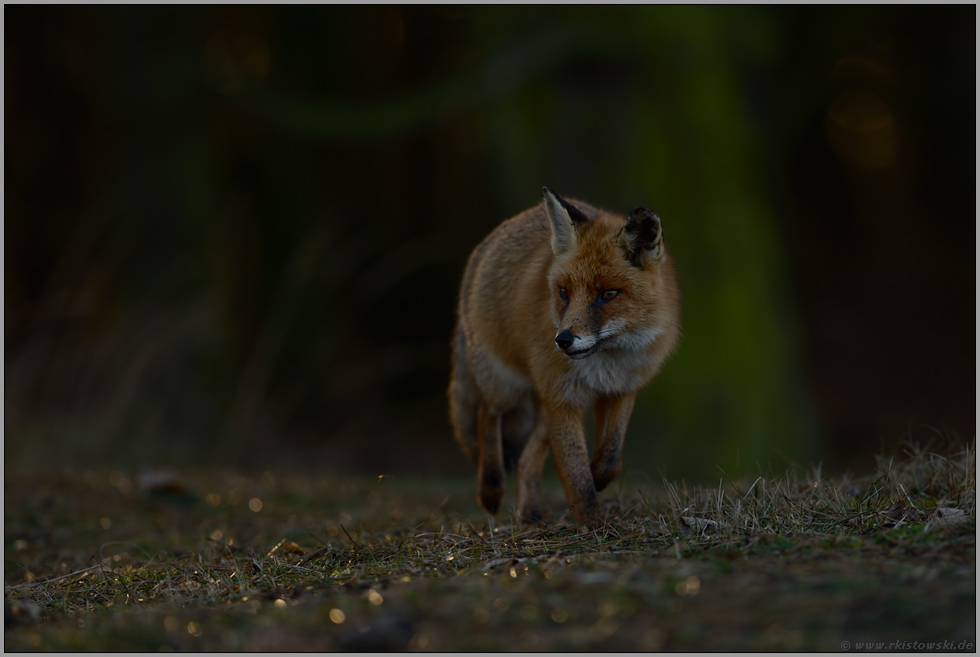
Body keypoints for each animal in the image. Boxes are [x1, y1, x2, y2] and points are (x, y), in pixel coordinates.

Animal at [450, 187, 680, 524]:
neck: (606, 363)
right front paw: (593, 524)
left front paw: (598, 478)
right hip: (504, 385)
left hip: (542, 405)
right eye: (563, 293)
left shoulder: (621, 390)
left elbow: (610, 458)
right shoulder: (563, 399)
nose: (563, 340)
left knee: (527, 460)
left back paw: (530, 514)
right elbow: (576, 475)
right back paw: (490, 490)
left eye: (608, 294)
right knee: (486, 416)